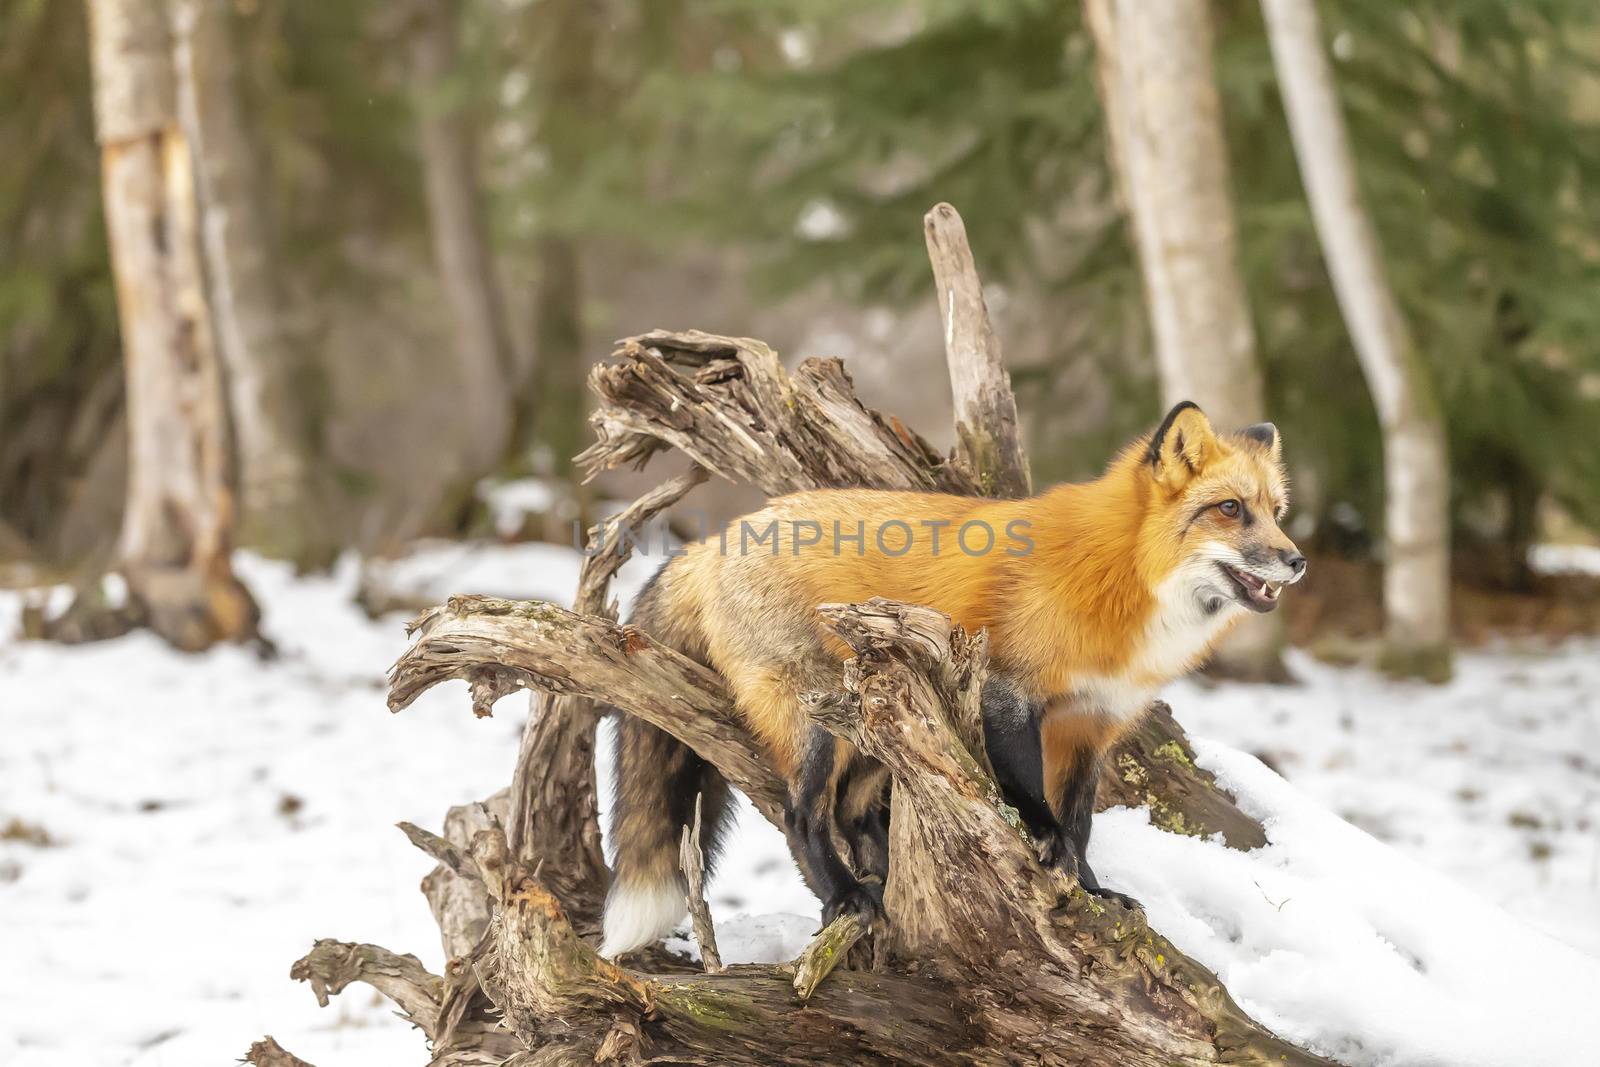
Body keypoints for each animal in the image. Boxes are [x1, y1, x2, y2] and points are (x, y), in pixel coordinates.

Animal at [601, 403, 1299, 959]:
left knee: (854, 811)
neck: (1120, 577)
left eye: (1276, 512)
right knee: (805, 815)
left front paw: (1092, 890)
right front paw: (1046, 846)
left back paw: (888, 880)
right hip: (819, 718)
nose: (1296, 560)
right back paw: (846, 896)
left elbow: (1080, 823)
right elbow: (1033, 799)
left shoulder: (1090, 724)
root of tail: (716, 540)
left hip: (875, 721)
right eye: (1230, 510)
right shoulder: (1008, 691)